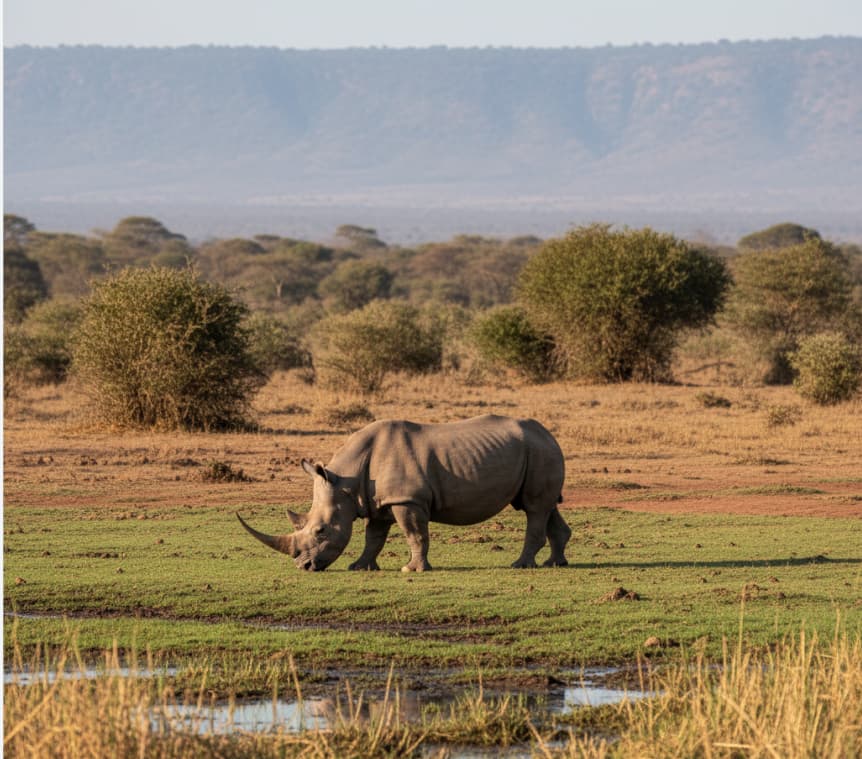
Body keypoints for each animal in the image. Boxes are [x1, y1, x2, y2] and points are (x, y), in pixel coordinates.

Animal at [237, 414, 570, 572]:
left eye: (320, 531)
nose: (304, 567)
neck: (345, 481)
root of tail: (549, 434)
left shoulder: (407, 500)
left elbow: (415, 534)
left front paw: (412, 569)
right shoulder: (378, 502)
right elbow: (374, 537)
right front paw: (360, 567)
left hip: (540, 451)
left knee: (534, 508)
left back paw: (521, 565)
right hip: (537, 451)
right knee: (545, 507)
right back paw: (555, 563)